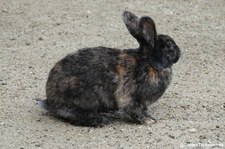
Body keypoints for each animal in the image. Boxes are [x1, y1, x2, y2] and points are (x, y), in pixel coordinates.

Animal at [39, 10, 181, 127]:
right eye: (169, 47)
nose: (179, 51)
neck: (150, 62)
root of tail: (50, 100)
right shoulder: (130, 96)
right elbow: (134, 109)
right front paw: (149, 120)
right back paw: (101, 120)